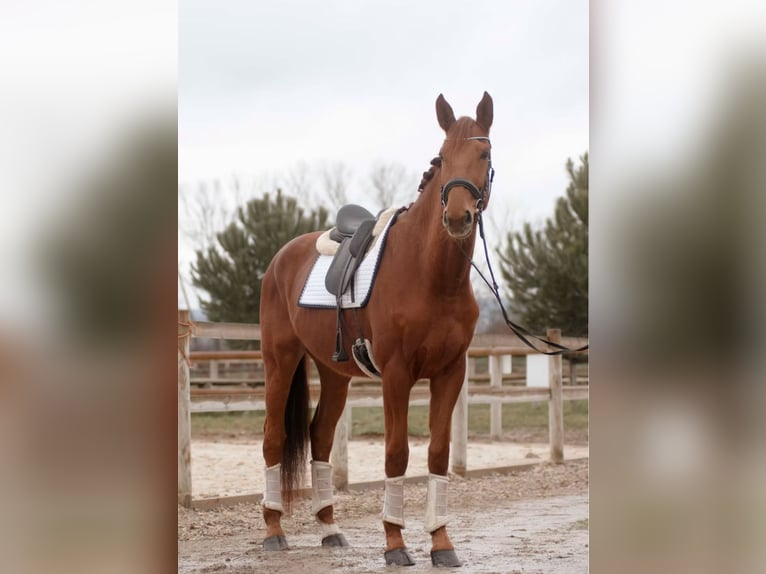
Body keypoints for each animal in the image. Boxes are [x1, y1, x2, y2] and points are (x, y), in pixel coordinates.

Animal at [259, 92, 494, 567]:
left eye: (484, 154)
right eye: (442, 157)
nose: (458, 217)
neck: (432, 276)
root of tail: (279, 260)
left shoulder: (451, 373)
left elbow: (438, 453)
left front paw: (441, 542)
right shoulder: (397, 374)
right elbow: (396, 453)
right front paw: (395, 543)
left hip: (333, 374)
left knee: (319, 437)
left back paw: (329, 529)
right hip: (280, 361)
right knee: (274, 437)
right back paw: (274, 530)